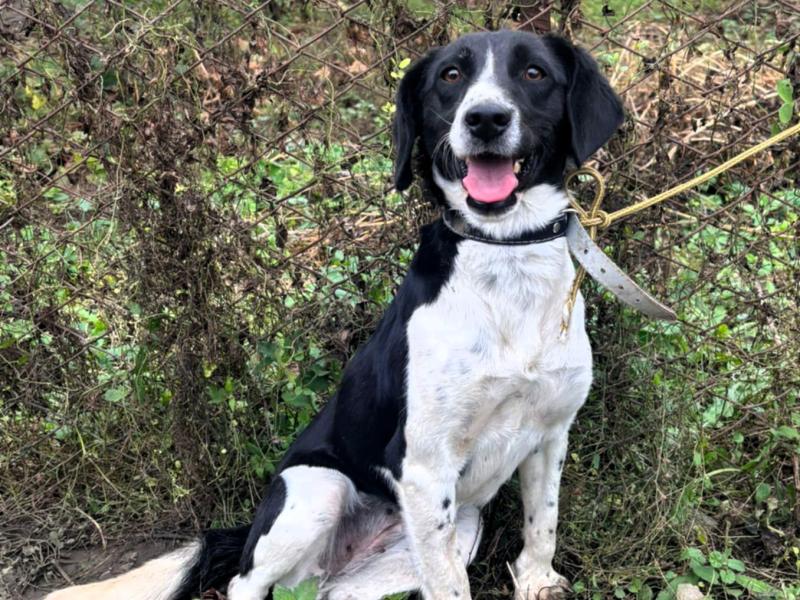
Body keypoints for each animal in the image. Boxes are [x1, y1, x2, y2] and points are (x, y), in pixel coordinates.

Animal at [45, 29, 623, 600]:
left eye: (534, 73)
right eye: (451, 76)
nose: (485, 118)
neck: (506, 253)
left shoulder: (550, 435)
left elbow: (543, 525)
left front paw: (537, 580)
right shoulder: (424, 466)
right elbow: (452, 587)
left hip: (450, 533)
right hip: (318, 490)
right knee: (242, 582)